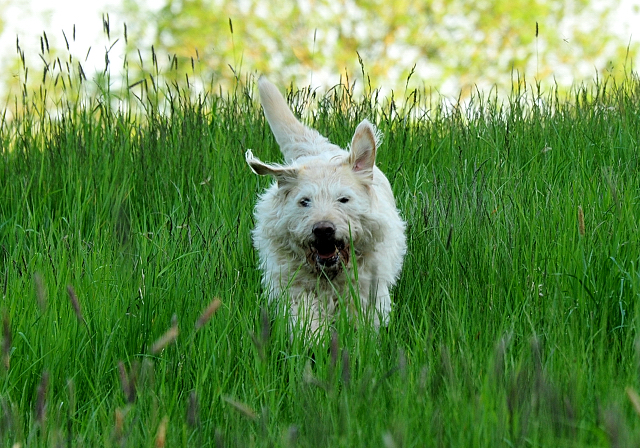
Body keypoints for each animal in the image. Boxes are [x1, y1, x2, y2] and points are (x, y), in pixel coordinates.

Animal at [245, 76, 404, 336]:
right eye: (304, 202)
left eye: (343, 199)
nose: (323, 229)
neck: (330, 274)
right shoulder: (296, 289)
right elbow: (306, 321)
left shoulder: (367, 290)